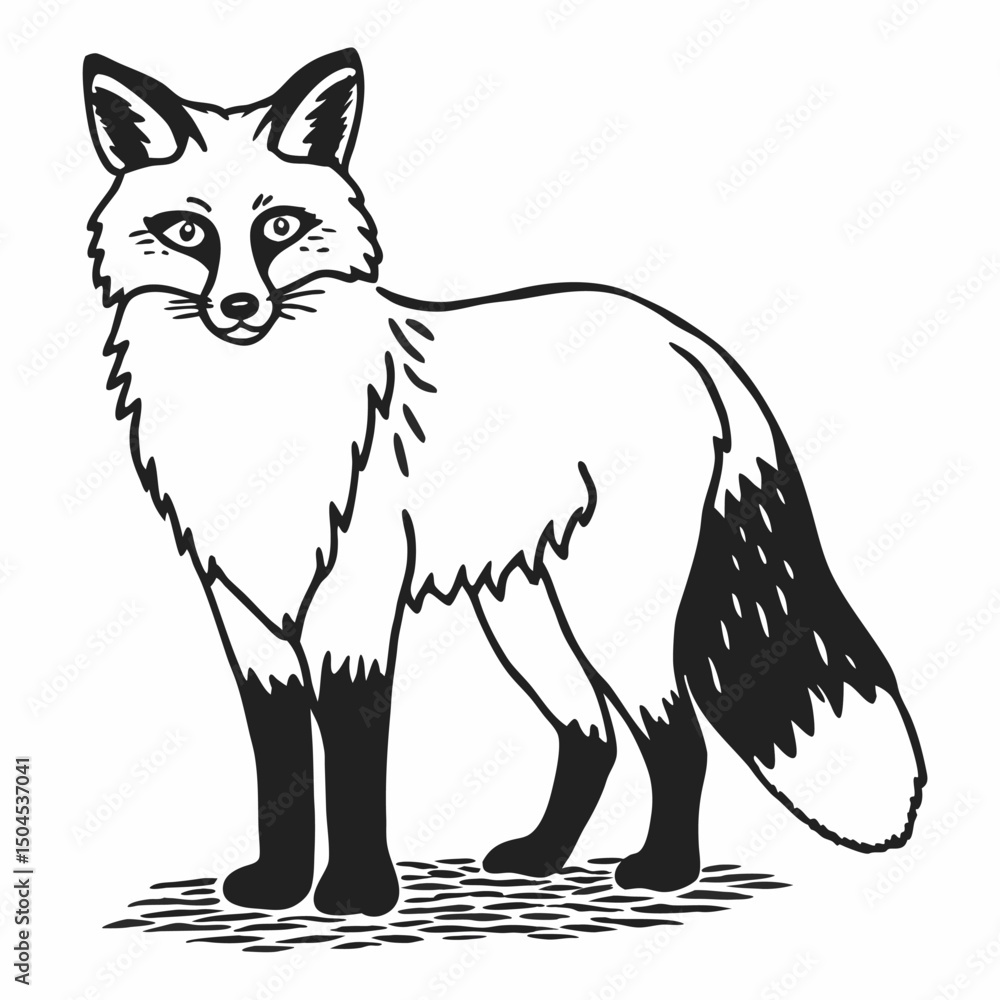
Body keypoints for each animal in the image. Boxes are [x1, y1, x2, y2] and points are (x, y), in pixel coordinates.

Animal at [84, 49, 925, 918]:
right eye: (187, 232)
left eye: (279, 226)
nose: (240, 305)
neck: (260, 413)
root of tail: (683, 335)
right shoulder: (248, 613)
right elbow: (279, 759)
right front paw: (279, 887)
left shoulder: (355, 611)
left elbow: (351, 757)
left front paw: (357, 894)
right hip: (522, 607)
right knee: (592, 733)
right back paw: (542, 857)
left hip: (606, 604)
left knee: (674, 735)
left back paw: (663, 872)